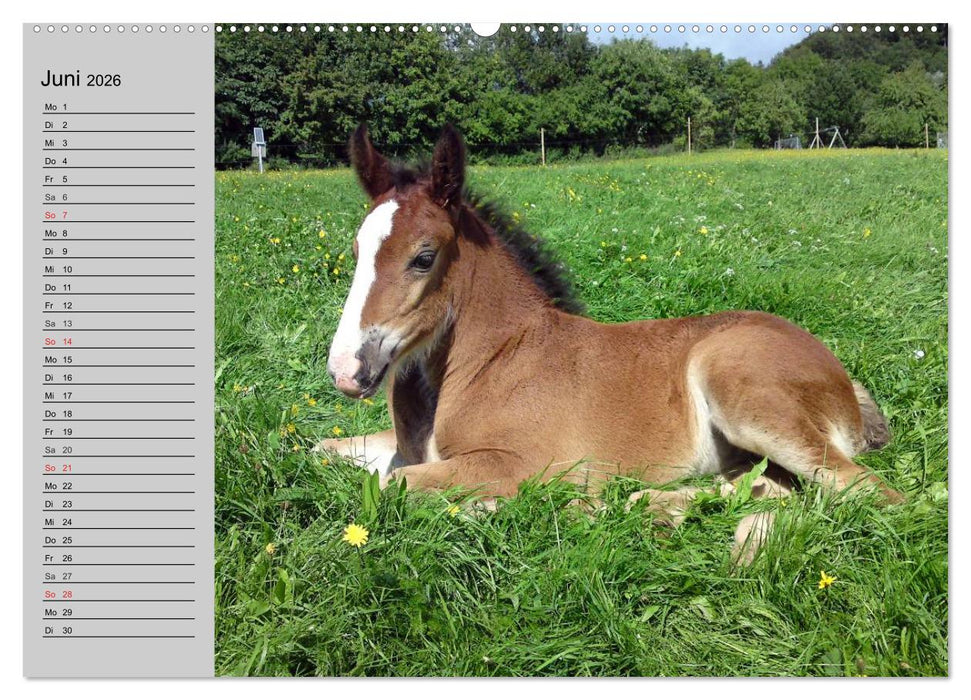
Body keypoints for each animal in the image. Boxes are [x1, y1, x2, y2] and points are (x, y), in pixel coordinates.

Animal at [317, 124, 902, 558]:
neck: (490, 358)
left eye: (423, 257)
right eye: (357, 251)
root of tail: (842, 377)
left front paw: (501, 506)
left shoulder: (514, 462)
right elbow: (325, 451)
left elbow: (391, 486)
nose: (348, 369)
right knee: (773, 485)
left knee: (868, 494)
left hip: (747, 396)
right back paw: (647, 507)